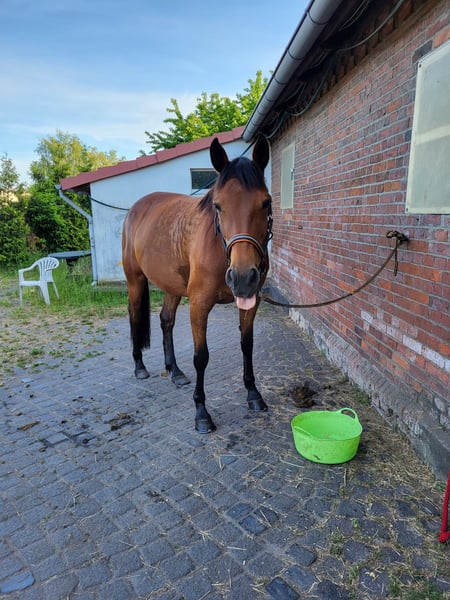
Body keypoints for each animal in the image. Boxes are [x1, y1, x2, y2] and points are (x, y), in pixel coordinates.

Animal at [122, 135, 272, 433]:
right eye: (218, 205)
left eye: (266, 203)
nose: (242, 277)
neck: (218, 247)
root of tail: (135, 209)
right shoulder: (199, 305)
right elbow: (201, 357)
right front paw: (201, 413)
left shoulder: (251, 301)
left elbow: (246, 345)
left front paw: (254, 394)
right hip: (135, 281)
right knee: (135, 318)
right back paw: (139, 367)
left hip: (172, 286)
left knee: (166, 321)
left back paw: (175, 371)